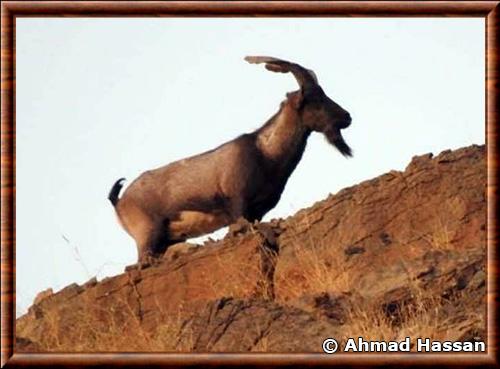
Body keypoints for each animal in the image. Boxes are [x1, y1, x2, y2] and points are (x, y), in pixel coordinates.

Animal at [109, 55, 352, 262]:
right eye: (316, 100)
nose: (347, 117)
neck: (265, 153)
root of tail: (119, 201)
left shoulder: (258, 211)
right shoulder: (238, 205)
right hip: (148, 233)